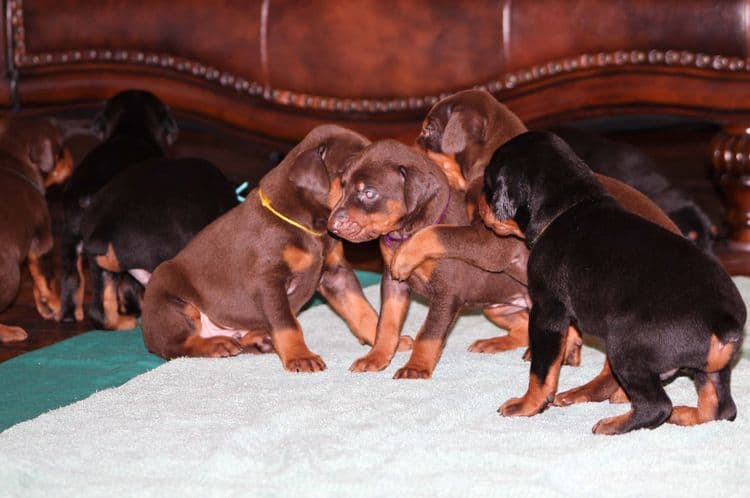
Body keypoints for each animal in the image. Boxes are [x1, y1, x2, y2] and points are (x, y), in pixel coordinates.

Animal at [59, 88, 178, 322]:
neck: (130, 129)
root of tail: (87, 194)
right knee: (118, 290)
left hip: (70, 240)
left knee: (71, 278)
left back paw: (69, 315)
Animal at [328, 140, 536, 378]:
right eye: (343, 186)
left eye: (369, 193)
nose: (331, 226)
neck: (403, 234)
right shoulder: (393, 283)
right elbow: (386, 324)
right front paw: (376, 357)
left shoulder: (448, 291)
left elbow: (429, 333)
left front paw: (415, 368)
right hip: (496, 307)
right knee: (522, 326)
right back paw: (493, 343)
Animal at [482, 131, 748, 436]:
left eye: (487, 185)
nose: (477, 206)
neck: (568, 207)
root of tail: (725, 322)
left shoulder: (547, 310)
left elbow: (542, 370)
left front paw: (526, 405)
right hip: (711, 368)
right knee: (720, 409)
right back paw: (683, 415)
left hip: (625, 343)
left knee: (656, 406)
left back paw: (614, 424)